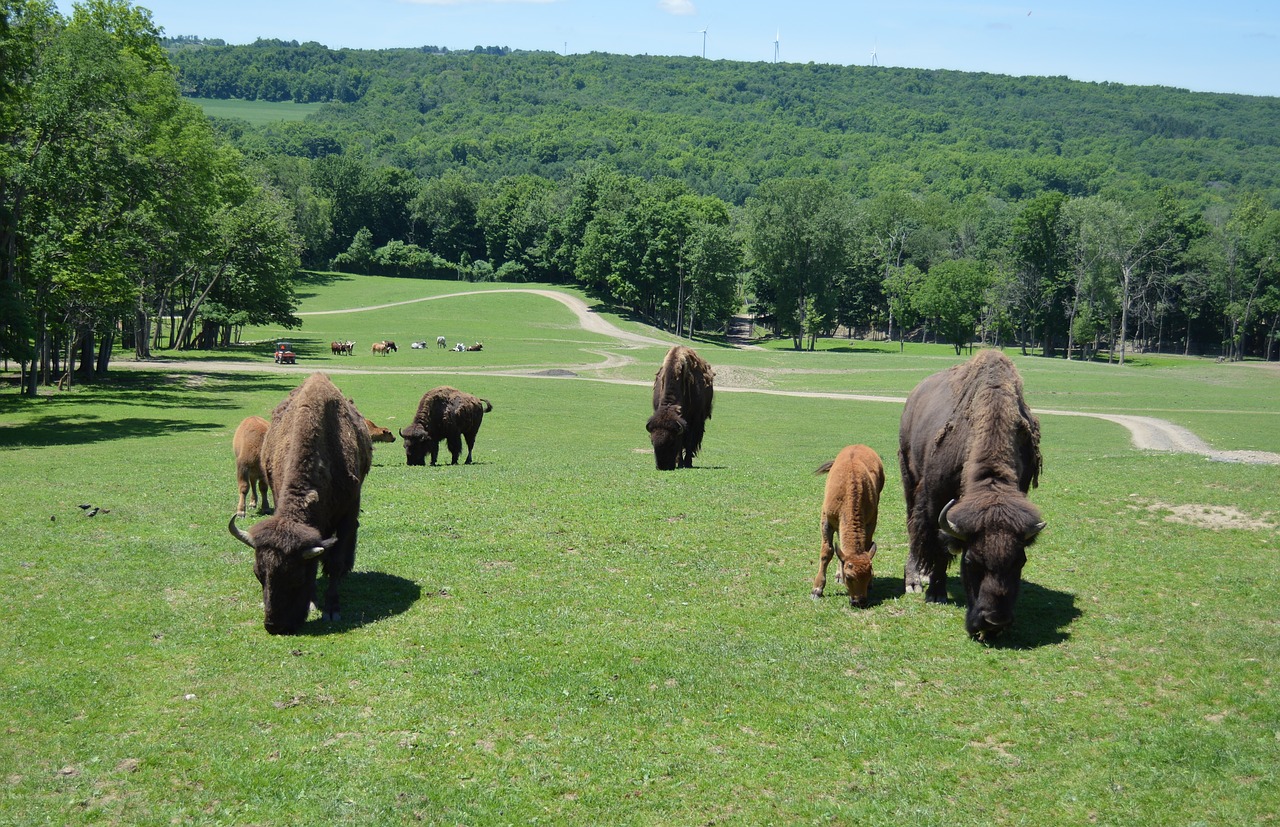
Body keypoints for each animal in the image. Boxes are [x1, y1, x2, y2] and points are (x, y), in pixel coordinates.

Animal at [229, 373, 373, 637]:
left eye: (296, 577)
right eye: (258, 574)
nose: (275, 626)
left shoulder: (346, 513)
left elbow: (335, 561)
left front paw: (331, 609)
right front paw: (315, 601)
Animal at [645, 345, 716, 473]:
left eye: (672, 442)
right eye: (652, 442)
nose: (662, 467)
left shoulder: (693, 420)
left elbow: (688, 441)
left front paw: (687, 463)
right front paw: (679, 462)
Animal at [814, 448, 885, 609]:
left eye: (870, 574)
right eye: (849, 576)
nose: (860, 601)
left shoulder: (871, 521)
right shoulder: (826, 521)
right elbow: (827, 552)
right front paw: (817, 590)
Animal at [896, 350, 1044, 642]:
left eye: (1020, 561)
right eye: (971, 561)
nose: (994, 622)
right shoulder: (936, 501)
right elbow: (939, 545)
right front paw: (936, 594)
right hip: (909, 477)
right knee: (914, 529)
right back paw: (915, 580)